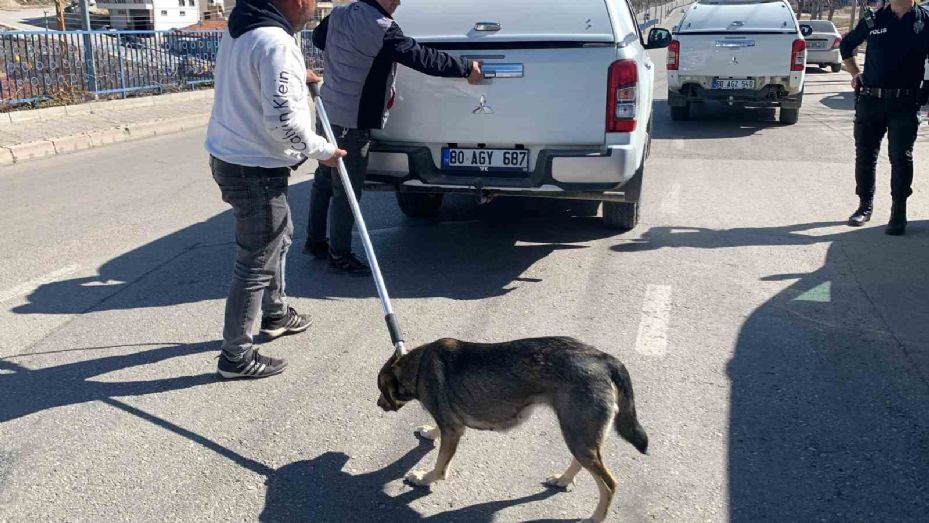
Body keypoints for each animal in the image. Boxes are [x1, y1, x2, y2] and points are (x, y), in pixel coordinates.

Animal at [376, 338, 644, 520]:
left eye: (380, 389)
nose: (378, 404)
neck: (417, 367)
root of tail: (603, 358)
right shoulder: (450, 425)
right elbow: (437, 432)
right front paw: (430, 432)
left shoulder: (453, 430)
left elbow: (440, 466)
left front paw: (424, 478)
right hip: (579, 433)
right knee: (582, 462)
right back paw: (563, 479)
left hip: (578, 435)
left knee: (609, 484)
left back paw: (596, 516)